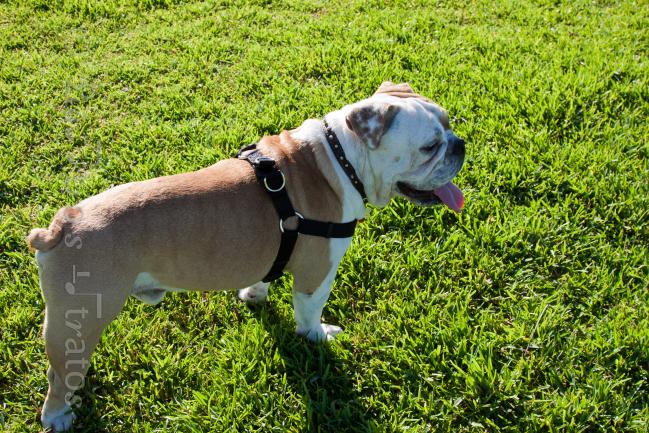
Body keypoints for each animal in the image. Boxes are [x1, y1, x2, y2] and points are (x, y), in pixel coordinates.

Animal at [27, 82, 465, 431]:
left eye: (448, 123)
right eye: (430, 146)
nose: (459, 144)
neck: (342, 162)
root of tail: (63, 224)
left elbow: (263, 277)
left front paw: (254, 296)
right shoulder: (317, 276)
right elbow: (309, 313)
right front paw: (318, 336)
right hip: (82, 315)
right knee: (58, 378)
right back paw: (59, 416)